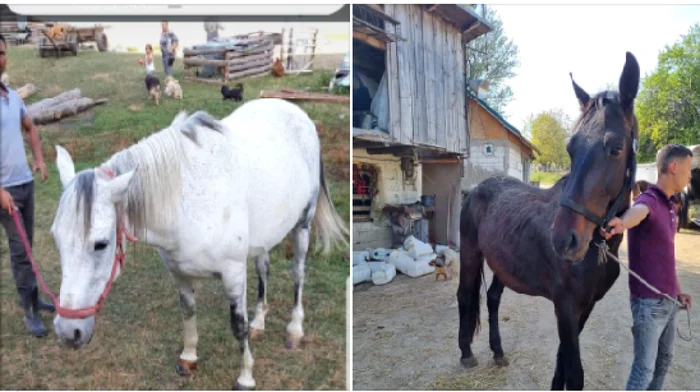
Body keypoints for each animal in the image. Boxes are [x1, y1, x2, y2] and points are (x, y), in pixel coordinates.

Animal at [47, 99, 348, 388]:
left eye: (101, 243)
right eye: (56, 240)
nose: (67, 332)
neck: (186, 204)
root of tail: (297, 112)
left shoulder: (233, 273)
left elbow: (238, 325)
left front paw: (245, 376)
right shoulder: (179, 272)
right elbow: (188, 311)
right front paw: (189, 357)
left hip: (303, 226)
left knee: (298, 273)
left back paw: (295, 330)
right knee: (263, 268)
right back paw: (260, 322)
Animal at [456, 52, 644, 388]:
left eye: (616, 147)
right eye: (571, 148)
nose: (564, 239)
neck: (597, 251)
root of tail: (477, 188)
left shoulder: (584, 308)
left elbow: (561, 363)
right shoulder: (566, 307)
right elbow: (574, 371)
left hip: (503, 264)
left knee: (492, 298)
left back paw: (498, 351)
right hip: (470, 253)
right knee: (465, 296)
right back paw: (466, 353)